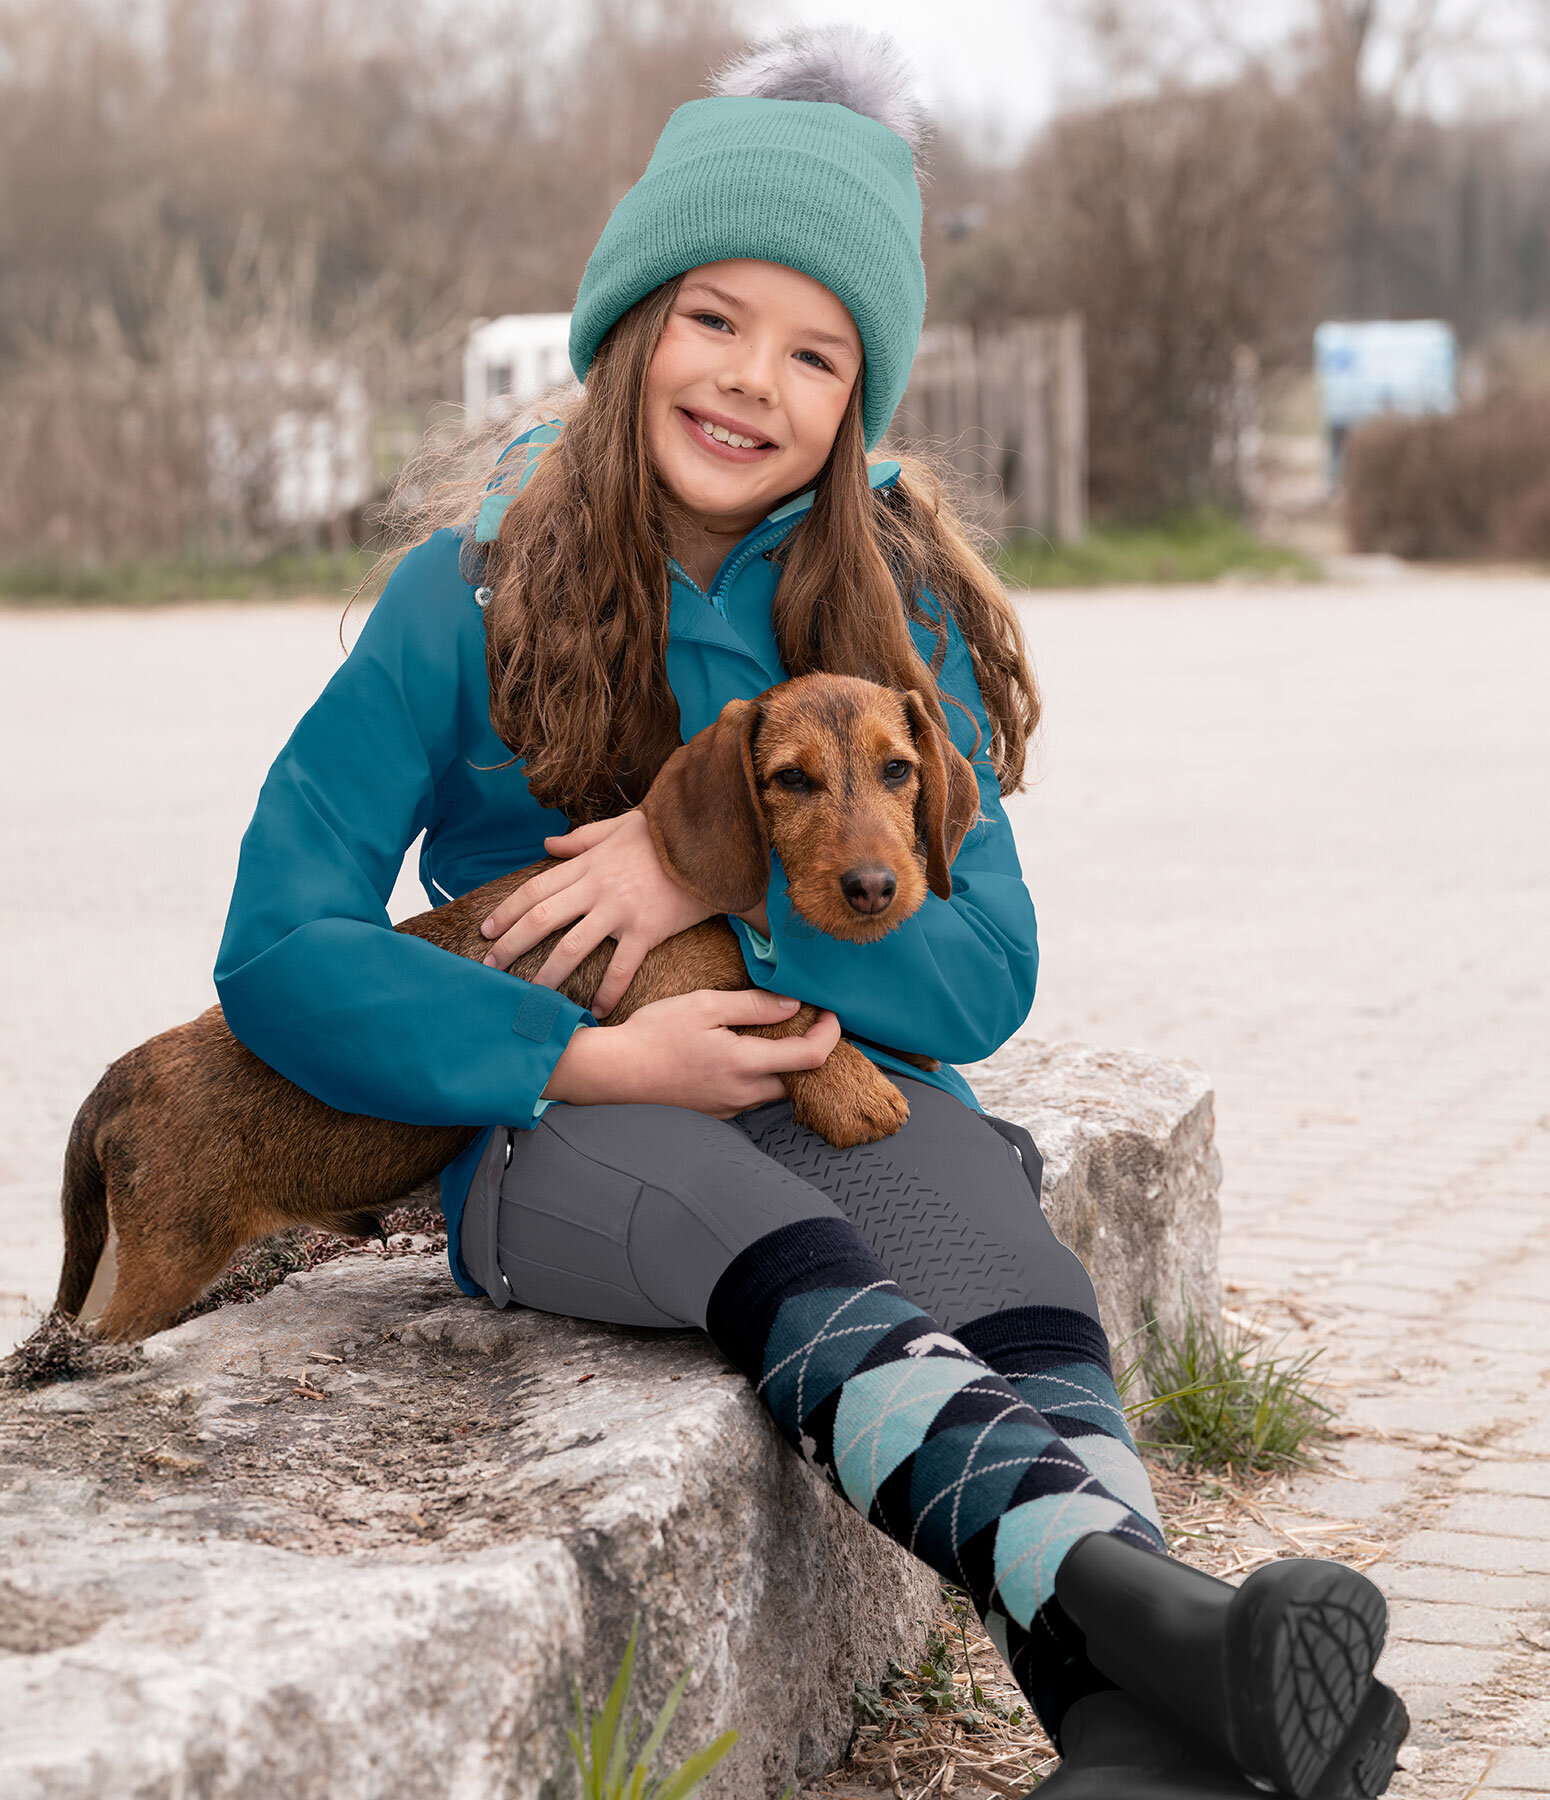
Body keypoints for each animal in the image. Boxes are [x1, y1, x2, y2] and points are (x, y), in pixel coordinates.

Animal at [60, 673, 979, 1339]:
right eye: (791, 779)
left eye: (898, 769)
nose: (874, 888)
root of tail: (114, 1079)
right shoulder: (668, 988)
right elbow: (773, 994)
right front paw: (852, 1086)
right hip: (163, 1261)